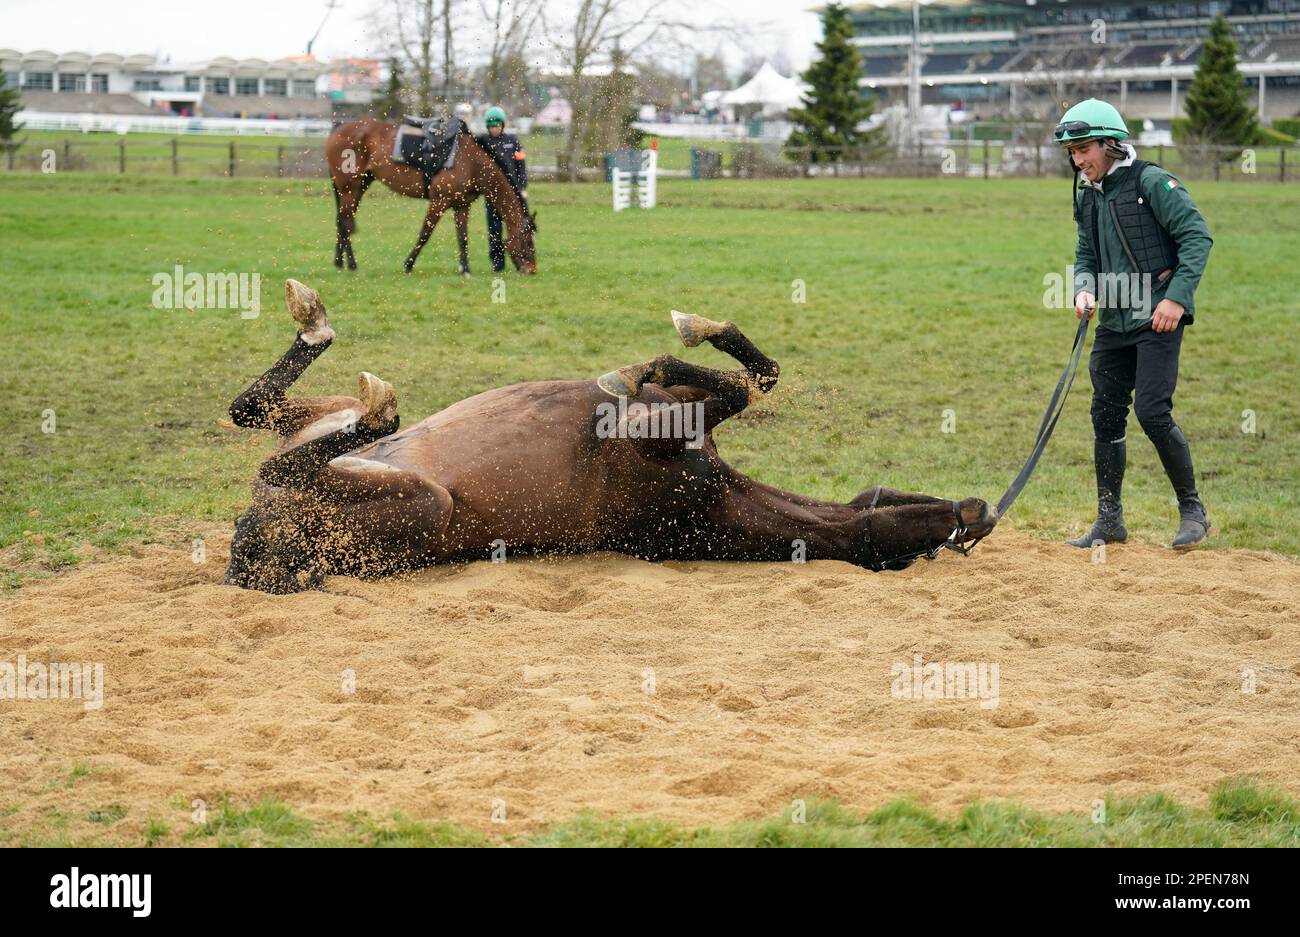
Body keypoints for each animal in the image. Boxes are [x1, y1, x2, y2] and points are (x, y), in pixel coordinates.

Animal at [226, 278, 993, 595]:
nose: (978, 512)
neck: (707, 500)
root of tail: (248, 551)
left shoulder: (660, 435)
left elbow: (741, 386)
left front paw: (648, 362)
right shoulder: (672, 428)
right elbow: (754, 379)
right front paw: (676, 343)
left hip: (408, 493)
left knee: (271, 427)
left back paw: (348, 364)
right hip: (334, 437)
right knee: (251, 408)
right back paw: (315, 319)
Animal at [325, 116, 538, 274]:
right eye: (527, 241)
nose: (532, 269)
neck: (471, 162)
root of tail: (337, 130)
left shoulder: (462, 205)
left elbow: (463, 237)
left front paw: (465, 269)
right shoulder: (439, 201)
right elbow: (425, 234)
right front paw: (408, 264)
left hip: (358, 186)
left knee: (342, 220)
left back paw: (339, 262)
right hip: (349, 187)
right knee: (344, 222)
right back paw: (352, 264)